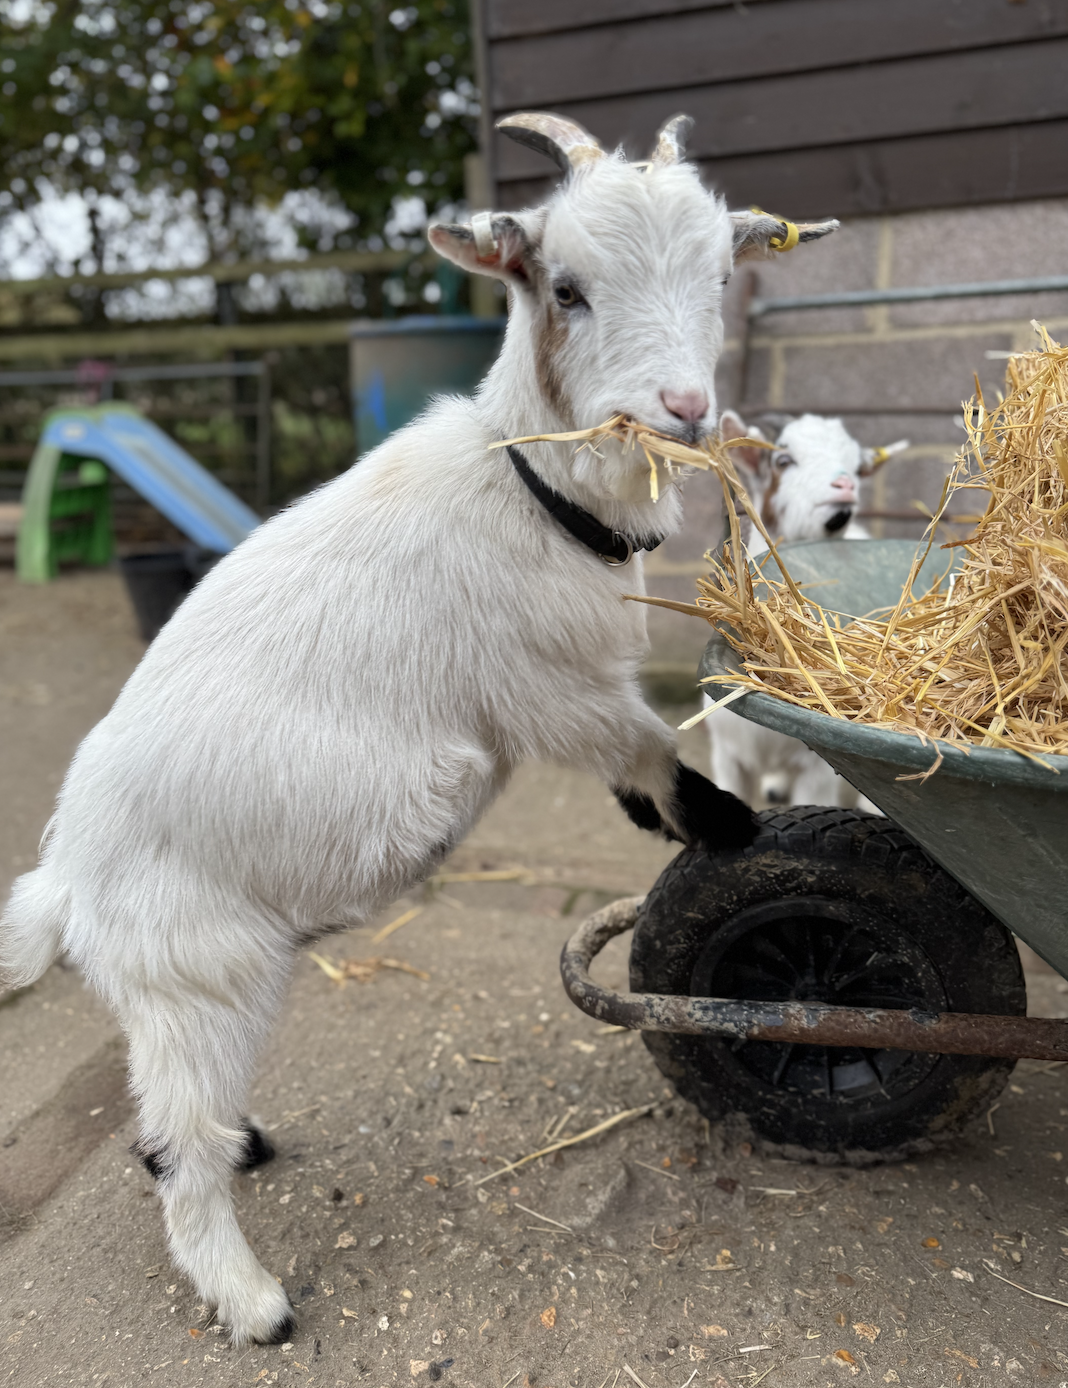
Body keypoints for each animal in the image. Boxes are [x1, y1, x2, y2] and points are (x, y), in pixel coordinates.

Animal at [0, 112, 836, 1345]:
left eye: (720, 278)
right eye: (566, 287)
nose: (685, 410)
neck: (531, 487)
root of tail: (64, 884)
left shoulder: (567, 682)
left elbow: (630, 759)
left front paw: (668, 819)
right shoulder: (547, 688)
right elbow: (643, 742)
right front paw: (723, 825)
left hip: (176, 994)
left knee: (167, 1128)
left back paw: (249, 1150)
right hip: (199, 980)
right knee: (174, 1154)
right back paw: (254, 1301)